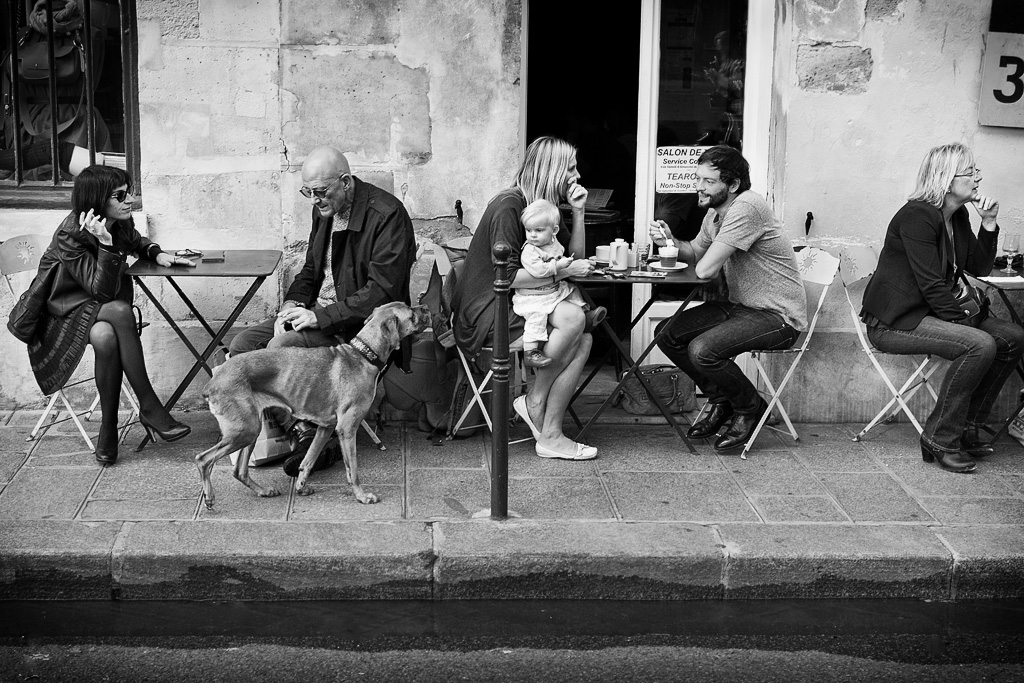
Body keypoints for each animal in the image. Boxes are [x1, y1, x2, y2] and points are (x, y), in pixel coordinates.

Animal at [196, 303, 432, 507]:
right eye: (411, 313)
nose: (426, 306)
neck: (363, 355)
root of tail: (213, 381)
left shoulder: (325, 428)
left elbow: (308, 461)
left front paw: (301, 486)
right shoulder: (347, 429)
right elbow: (352, 469)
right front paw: (362, 496)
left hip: (250, 431)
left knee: (239, 471)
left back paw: (263, 491)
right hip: (244, 431)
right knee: (203, 459)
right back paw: (209, 497)